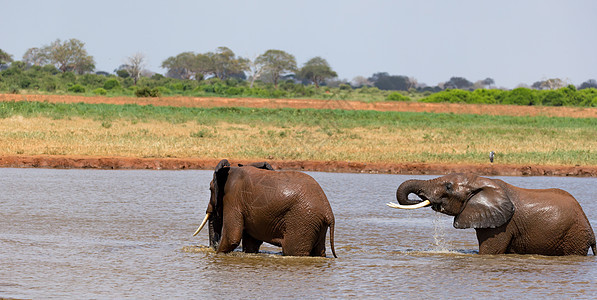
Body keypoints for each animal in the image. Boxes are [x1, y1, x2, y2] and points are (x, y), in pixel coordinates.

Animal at [193, 159, 338, 258]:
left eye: (210, 189)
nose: (213, 247)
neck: (230, 169)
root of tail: (328, 212)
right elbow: (251, 242)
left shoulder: (233, 198)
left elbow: (232, 237)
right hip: (315, 224)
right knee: (319, 251)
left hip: (302, 221)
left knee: (293, 250)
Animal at [388, 173, 592, 255]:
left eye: (448, 187)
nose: (419, 198)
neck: (480, 181)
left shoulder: (502, 225)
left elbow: (489, 251)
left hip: (574, 236)